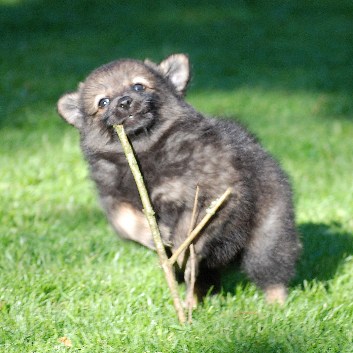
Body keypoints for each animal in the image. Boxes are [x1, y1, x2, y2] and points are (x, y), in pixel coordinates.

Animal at [57, 53, 300, 304]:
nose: (124, 102)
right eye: (103, 102)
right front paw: (155, 235)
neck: (144, 151)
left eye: (138, 86)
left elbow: (188, 230)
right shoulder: (112, 198)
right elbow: (126, 220)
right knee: (199, 281)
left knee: (270, 270)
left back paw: (275, 305)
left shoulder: (214, 193)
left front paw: (179, 250)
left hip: (268, 234)